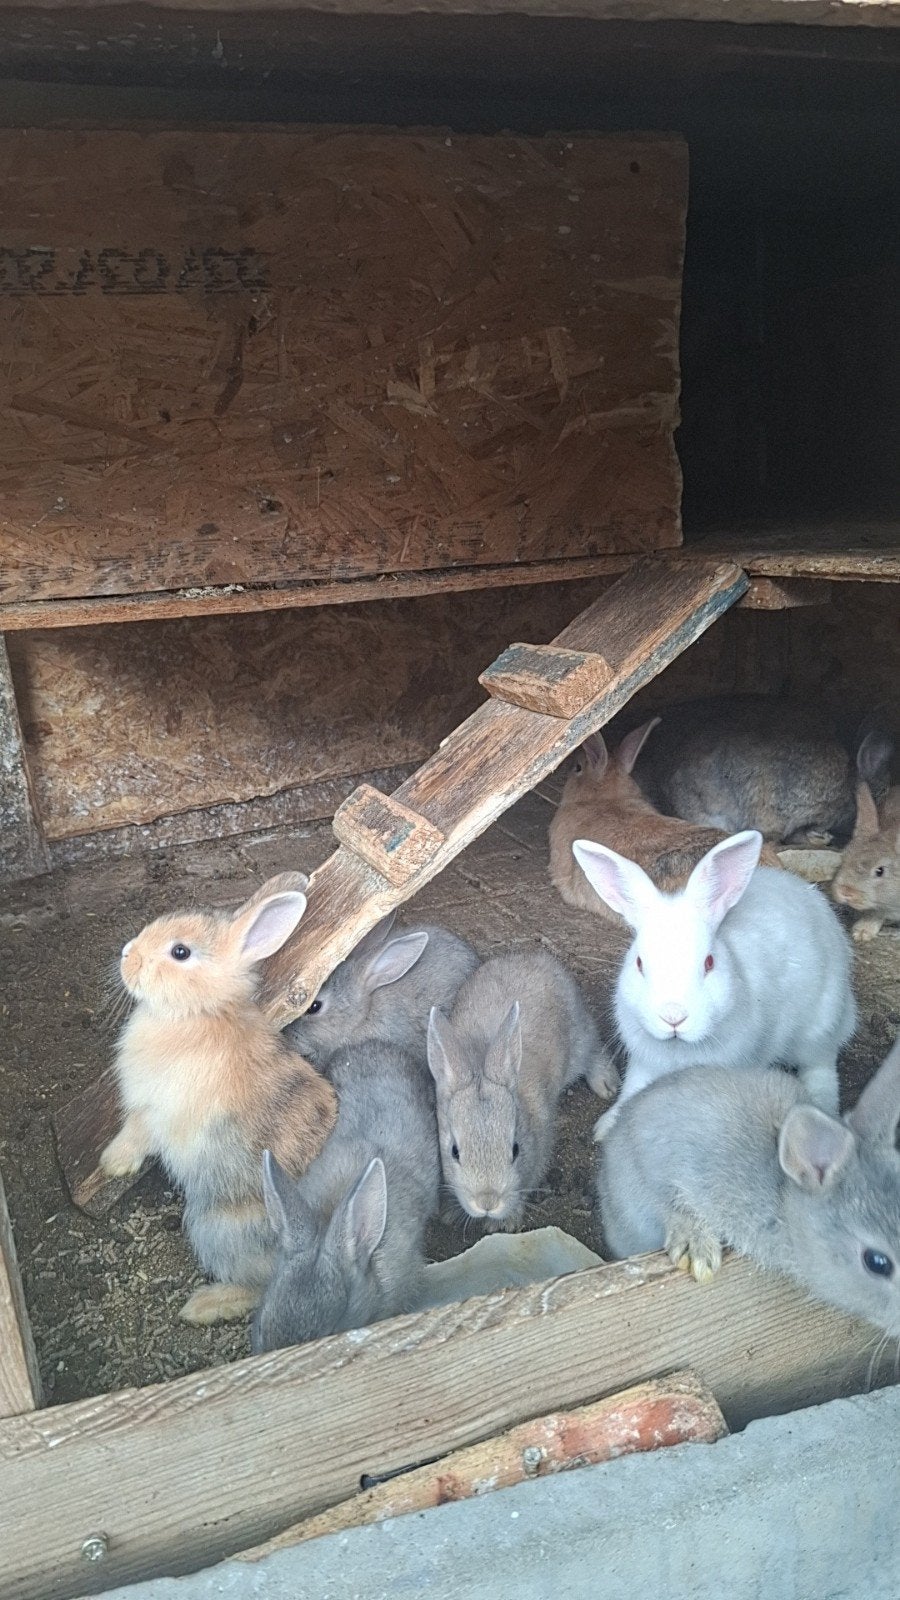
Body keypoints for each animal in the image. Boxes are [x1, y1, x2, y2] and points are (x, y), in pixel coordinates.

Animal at [100, 873, 338, 1326]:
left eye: (180, 952)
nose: (126, 955)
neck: (199, 1012)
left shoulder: (153, 1110)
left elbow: (135, 1135)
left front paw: (112, 1163)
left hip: (214, 1225)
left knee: (256, 1286)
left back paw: (203, 1305)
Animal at [427, 949, 617, 1233]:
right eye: (454, 1152)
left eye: (515, 1149)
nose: (487, 1203)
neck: (480, 1065)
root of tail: (536, 958)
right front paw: (450, 1212)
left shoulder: (541, 1147)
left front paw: (505, 1223)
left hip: (579, 1037)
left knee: (593, 1049)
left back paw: (607, 1083)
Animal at [573, 828, 856, 1132]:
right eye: (639, 963)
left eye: (709, 962)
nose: (673, 1017)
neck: (679, 1048)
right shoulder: (644, 1061)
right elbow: (632, 1088)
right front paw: (607, 1126)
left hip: (818, 1025)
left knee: (821, 1066)